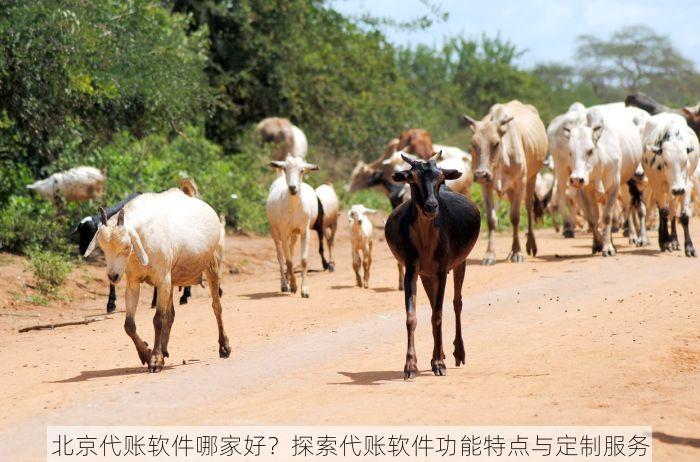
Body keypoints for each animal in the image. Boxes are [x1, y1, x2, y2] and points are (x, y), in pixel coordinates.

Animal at [266, 155, 318, 298]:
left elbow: (303, 260)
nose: (293, 188)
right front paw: (294, 286)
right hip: (274, 230)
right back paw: (285, 284)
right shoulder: (284, 233)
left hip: (294, 234)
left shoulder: (304, 231)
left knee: (291, 249)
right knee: (280, 256)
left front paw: (304, 289)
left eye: (302, 171)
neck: (294, 208)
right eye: (285, 168)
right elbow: (288, 261)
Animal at [382, 152, 482, 378]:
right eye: (412, 179)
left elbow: (437, 315)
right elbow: (412, 317)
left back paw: (458, 353)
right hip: (426, 274)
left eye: (440, 178)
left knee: (456, 303)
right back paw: (442, 352)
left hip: (460, 263)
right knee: (433, 303)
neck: (425, 240)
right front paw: (410, 366)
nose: (431, 206)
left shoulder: (442, 270)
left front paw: (438, 364)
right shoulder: (412, 270)